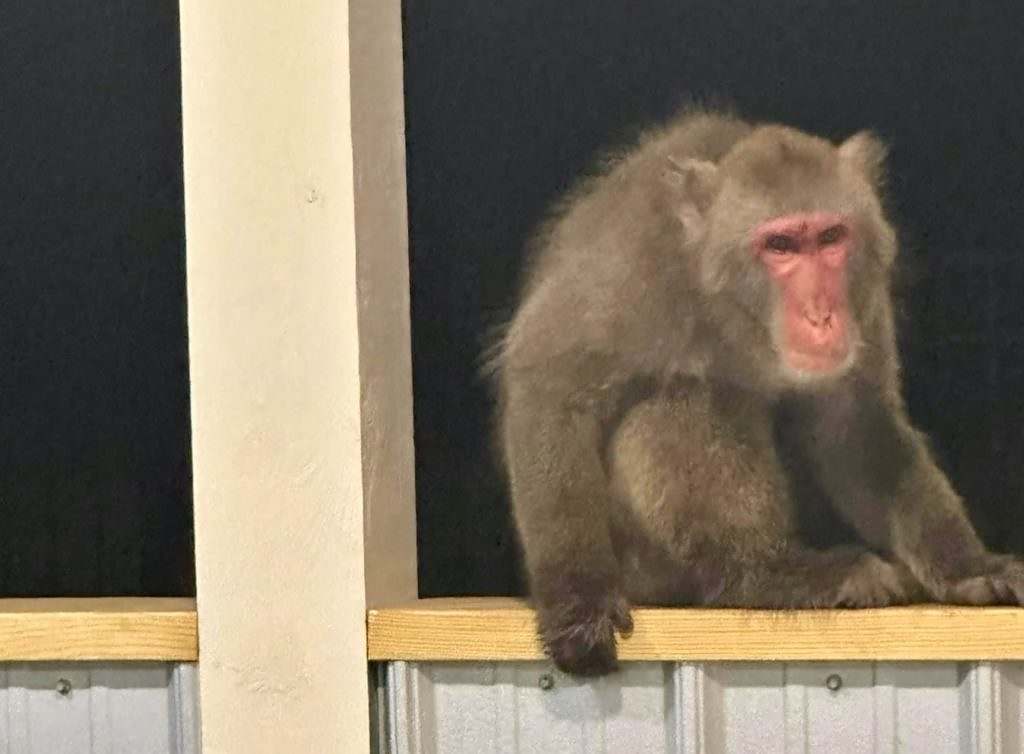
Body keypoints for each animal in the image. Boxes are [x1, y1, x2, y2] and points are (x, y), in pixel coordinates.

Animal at [489, 109, 1024, 677]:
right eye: (781, 245)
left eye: (831, 236)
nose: (821, 315)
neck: (739, 318)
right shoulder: (630, 266)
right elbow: (548, 382)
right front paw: (577, 600)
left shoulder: (864, 296)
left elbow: (857, 425)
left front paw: (968, 565)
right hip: (641, 563)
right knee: (689, 398)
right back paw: (766, 573)